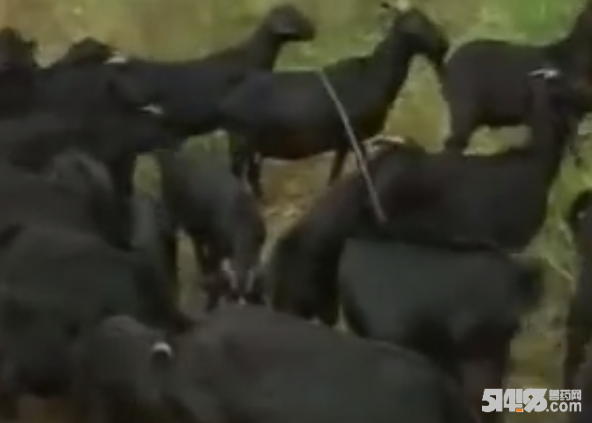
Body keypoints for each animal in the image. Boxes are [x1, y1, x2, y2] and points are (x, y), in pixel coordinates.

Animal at [219, 0, 449, 199]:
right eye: (415, 27)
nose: (444, 44)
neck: (373, 75)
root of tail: (229, 101)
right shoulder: (354, 136)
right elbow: (355, 169)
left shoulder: (345, 140)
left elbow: (336, 173)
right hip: (245, 146)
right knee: (242, 175)